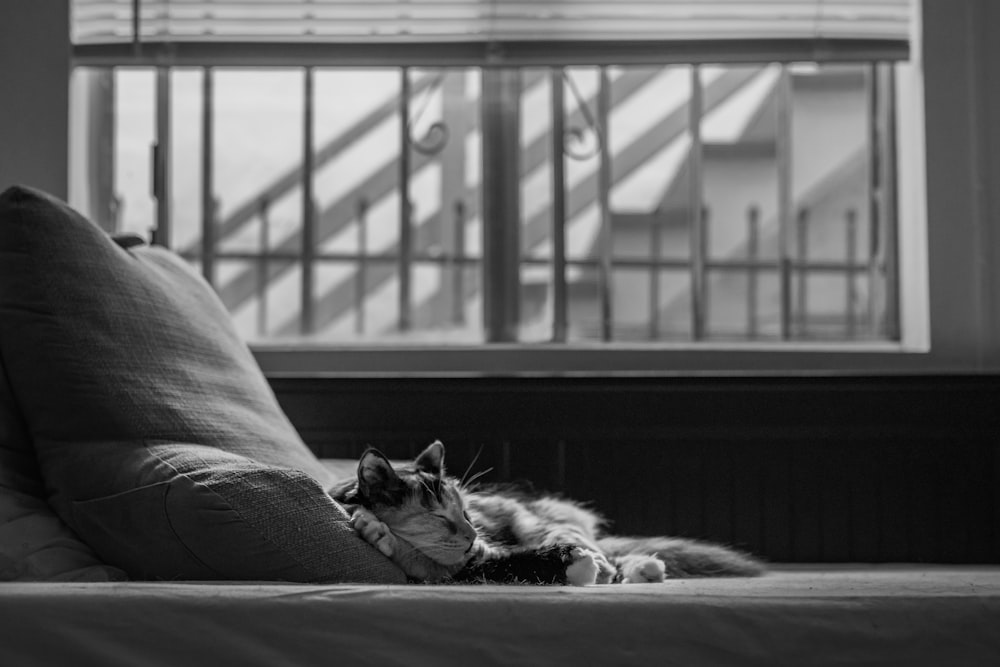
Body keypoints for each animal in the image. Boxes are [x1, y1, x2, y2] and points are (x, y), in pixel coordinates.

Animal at [330, 440, 764, 588]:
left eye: (466, 513)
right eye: (439, 518)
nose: (471, 537)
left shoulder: (484, 556)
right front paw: (373, 529)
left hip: (547, 528)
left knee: (609, 559)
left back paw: (637, 569)